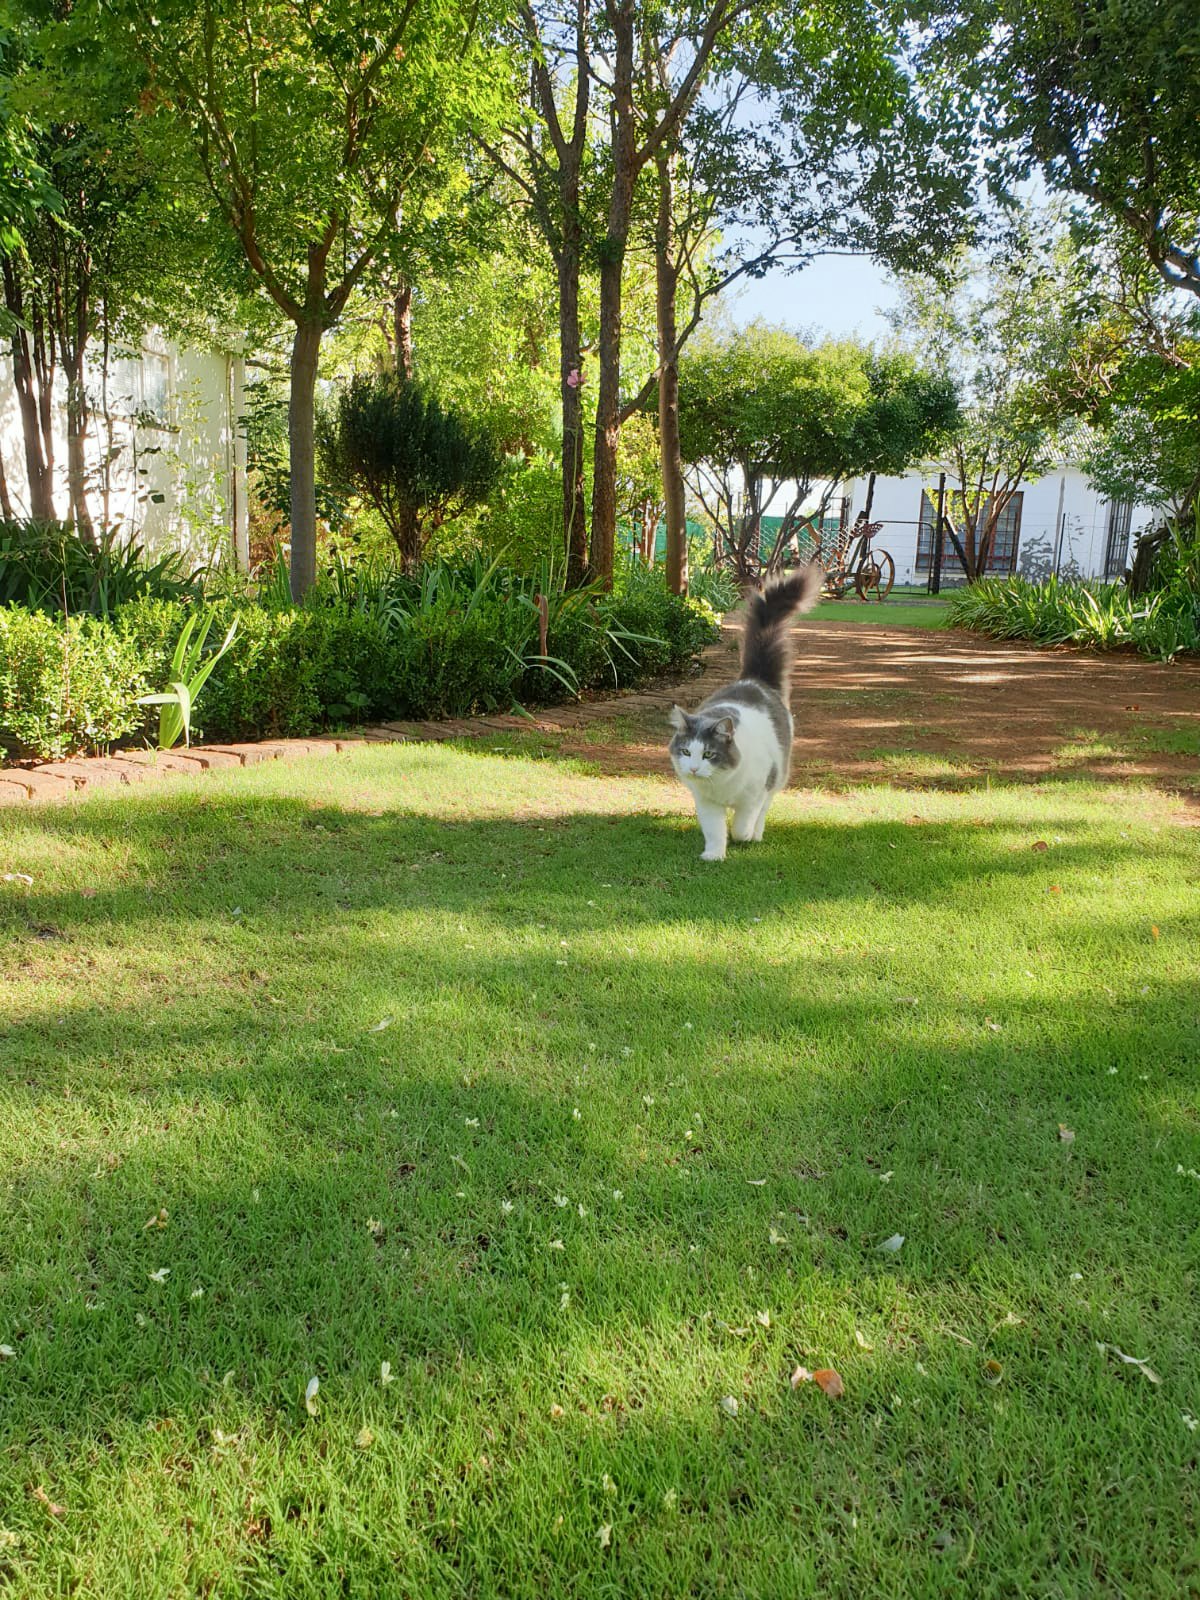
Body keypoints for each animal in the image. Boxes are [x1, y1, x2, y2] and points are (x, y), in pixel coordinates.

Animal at [668, 563, 822, 861]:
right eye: (686, 752)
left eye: (708, 754)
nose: (693, 769)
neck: (721, 784)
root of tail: (754, 680)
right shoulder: (707, 803)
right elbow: (715, 831)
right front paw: (715, 854)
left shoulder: (755, 794)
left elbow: (742, 824)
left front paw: (745, 836)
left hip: (778, 774)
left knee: (764, 809)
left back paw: (756, 835)